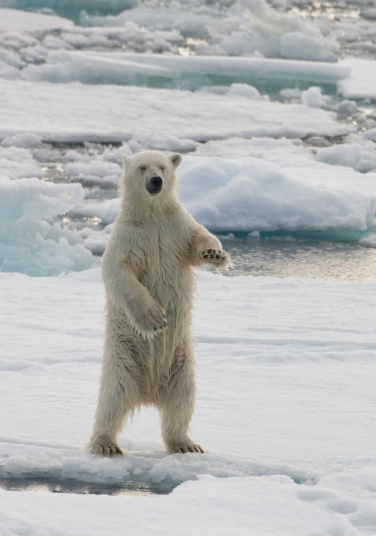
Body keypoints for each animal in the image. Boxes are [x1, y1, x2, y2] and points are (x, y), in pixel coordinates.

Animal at [89, 150, 231, 456]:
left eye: (163, 167)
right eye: (143, 167)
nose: (156, 181)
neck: (151, 215)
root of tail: (149, 393)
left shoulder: (175, 226)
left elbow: (199, 237)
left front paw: (215, 254)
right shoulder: (128, 237)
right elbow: (120, 273)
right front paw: (155, 319)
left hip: (181, 364)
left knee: (182, 401)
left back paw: (186, 444)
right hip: (123, 359)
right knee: (112, 401)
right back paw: (105, 444)